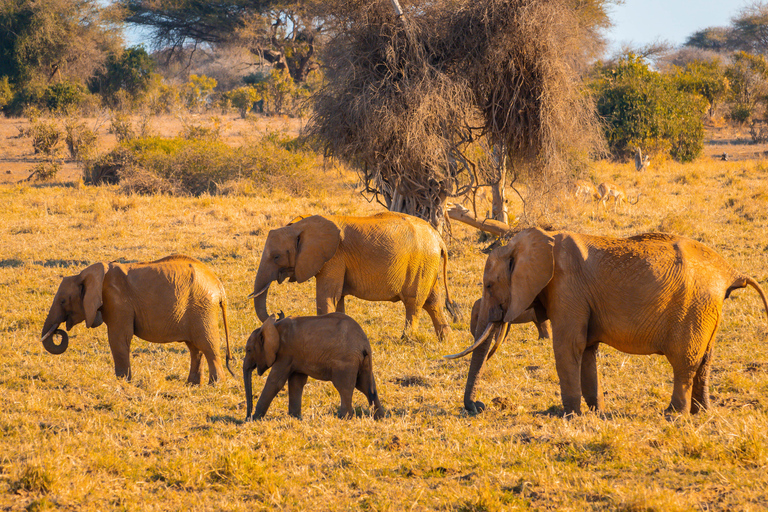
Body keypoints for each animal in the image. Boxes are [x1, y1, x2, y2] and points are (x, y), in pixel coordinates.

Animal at [41, 256, 232, 384]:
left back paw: (215, 385)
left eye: (63, 301)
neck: (85, 274)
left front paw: (122, 382)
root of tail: (218, 285)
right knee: (195, 348)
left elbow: (118, 339)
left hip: (202, 308)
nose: (58, 331)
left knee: (207, 345)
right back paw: (192, 385)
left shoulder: (117, 301)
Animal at [243, 312, 384, 420]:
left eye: (249, 350)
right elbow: (296, 383)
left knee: (344, 387)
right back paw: (379, 417)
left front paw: (255, 419)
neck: (274, 327)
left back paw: (344, 418)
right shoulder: (296, 355)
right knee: (367, 386)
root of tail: (364, 344)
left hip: (346, 362)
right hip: (363, 362)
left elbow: (275, 382)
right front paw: (294, 417)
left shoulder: (286, 353)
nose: (247, 417)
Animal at [249, 212, 460, 340]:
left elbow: (327, 296)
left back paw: (406, 339)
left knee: (414, 302)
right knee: (433, 301)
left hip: (421, 263)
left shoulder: (334, 257)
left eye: (276, 257)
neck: (302, 225)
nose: (278, 313)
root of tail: (439, 238)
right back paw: (446, 340)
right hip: (428, 264)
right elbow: (338, 298)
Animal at [444, 228, 768, 416]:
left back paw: (673, 414)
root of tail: (730, 272)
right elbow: (586, 350)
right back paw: (702, 412)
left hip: (693, 308)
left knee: (684, 362)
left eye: (488, 285)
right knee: (705, 359)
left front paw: (568, 416)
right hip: (707, 311)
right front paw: (595, 411)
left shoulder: (567, 287)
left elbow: (568, 347)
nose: (478, 407)